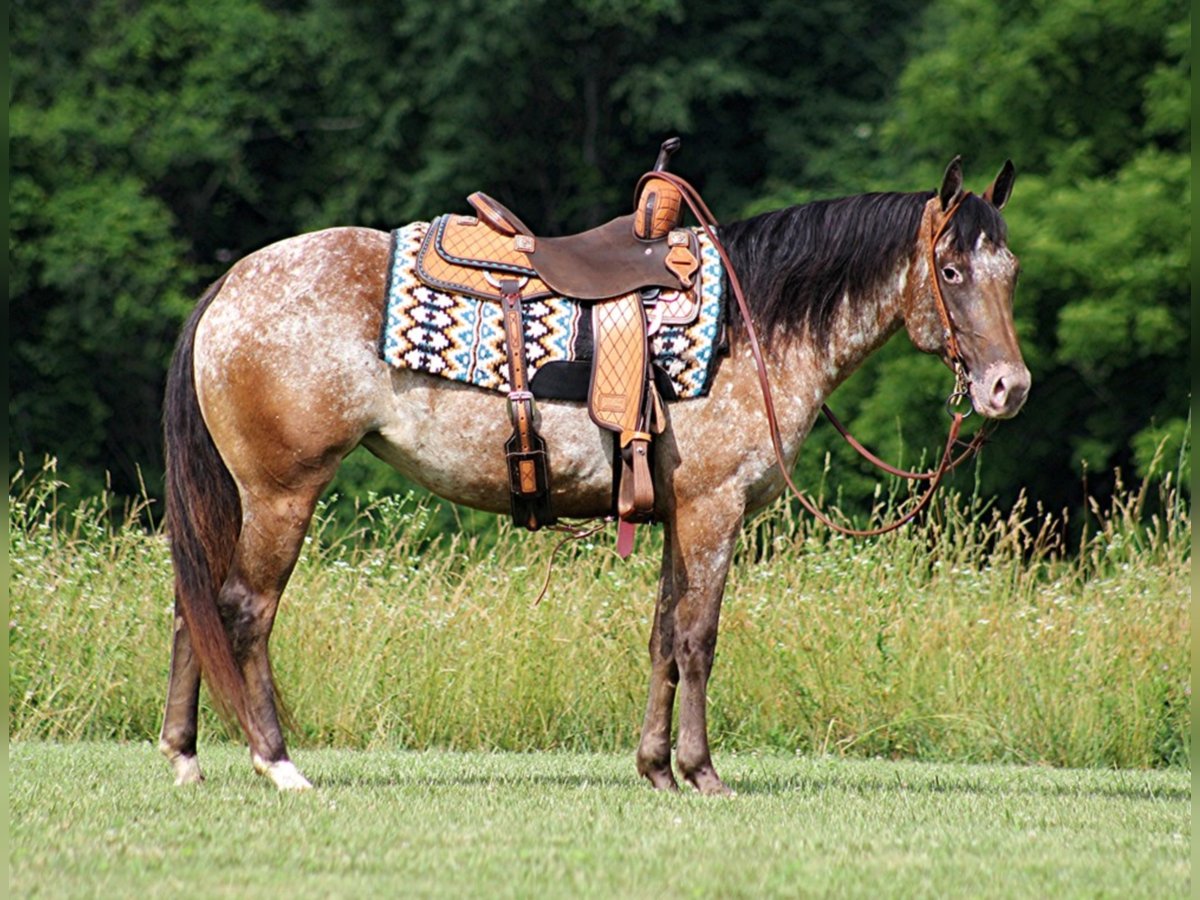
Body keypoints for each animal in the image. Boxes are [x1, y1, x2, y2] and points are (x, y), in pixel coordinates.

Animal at [159, 157, 1032, 796]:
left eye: (1011, 269)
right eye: (952, 270)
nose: (1008, 388)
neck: (752, 327)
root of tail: (232, 283)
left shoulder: (680, 516)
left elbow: (663, 639)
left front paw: (655, 770)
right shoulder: (713, 512)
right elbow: (699, 639)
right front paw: (702, 773)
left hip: (242, 498)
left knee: (194, 604)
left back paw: (185, 755)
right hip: (282, 492)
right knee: (244, 611)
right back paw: (278, 764)